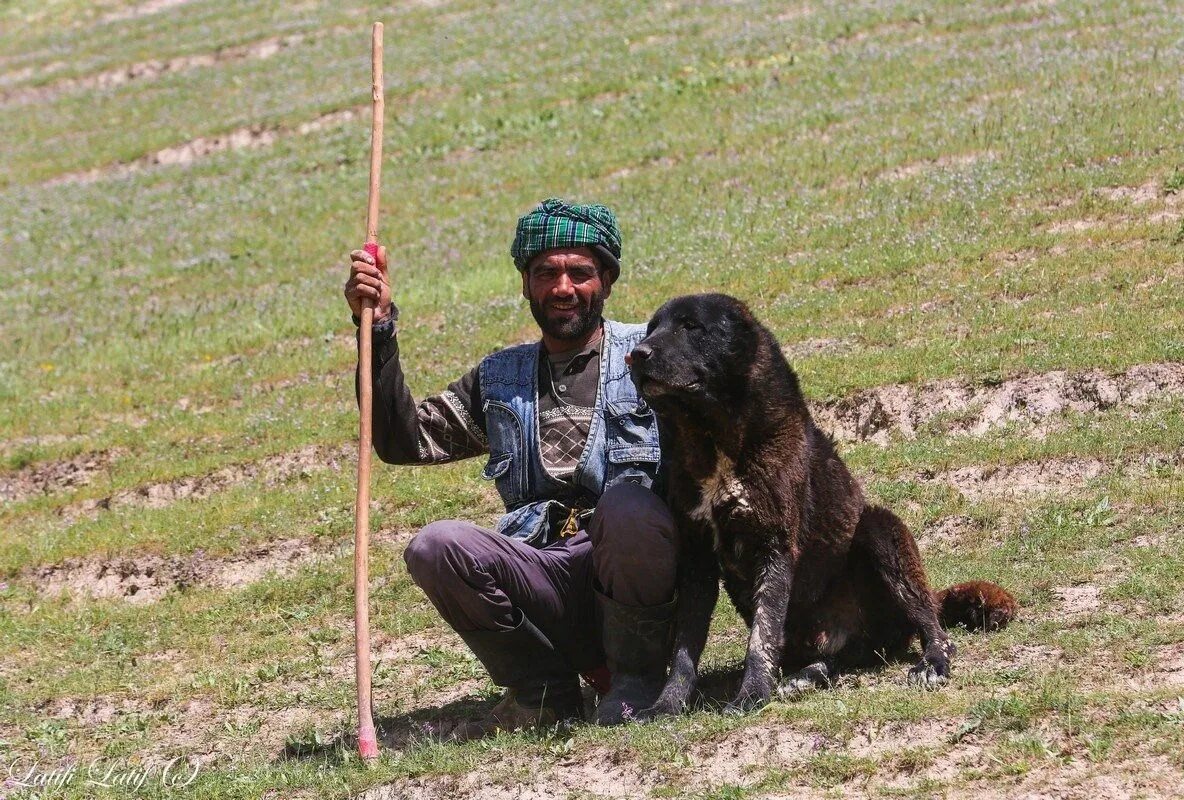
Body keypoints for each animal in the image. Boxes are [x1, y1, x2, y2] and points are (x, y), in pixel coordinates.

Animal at [629, 295, 1018, 719]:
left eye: (691, 327)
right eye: (652, 328)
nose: (637, 355)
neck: (717, 442)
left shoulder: (775, 550)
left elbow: (761, 639)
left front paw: (751, 695)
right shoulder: (698, 561)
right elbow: (685, 650)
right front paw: (667, 705)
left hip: (880, 530)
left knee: (933, 628)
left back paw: (932, 662)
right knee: (845, 657)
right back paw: (806, 676)